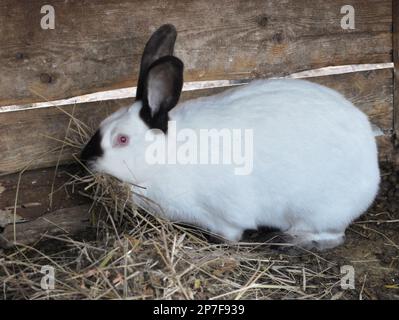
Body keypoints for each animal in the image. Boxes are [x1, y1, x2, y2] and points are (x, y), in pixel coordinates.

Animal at [81, 25, 382, 250]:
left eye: (122, 140)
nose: (85, 161)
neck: (167, 157)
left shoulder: (223, 215)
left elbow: (230, 234)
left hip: (317, 211)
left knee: (330, 236)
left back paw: (287, 241)